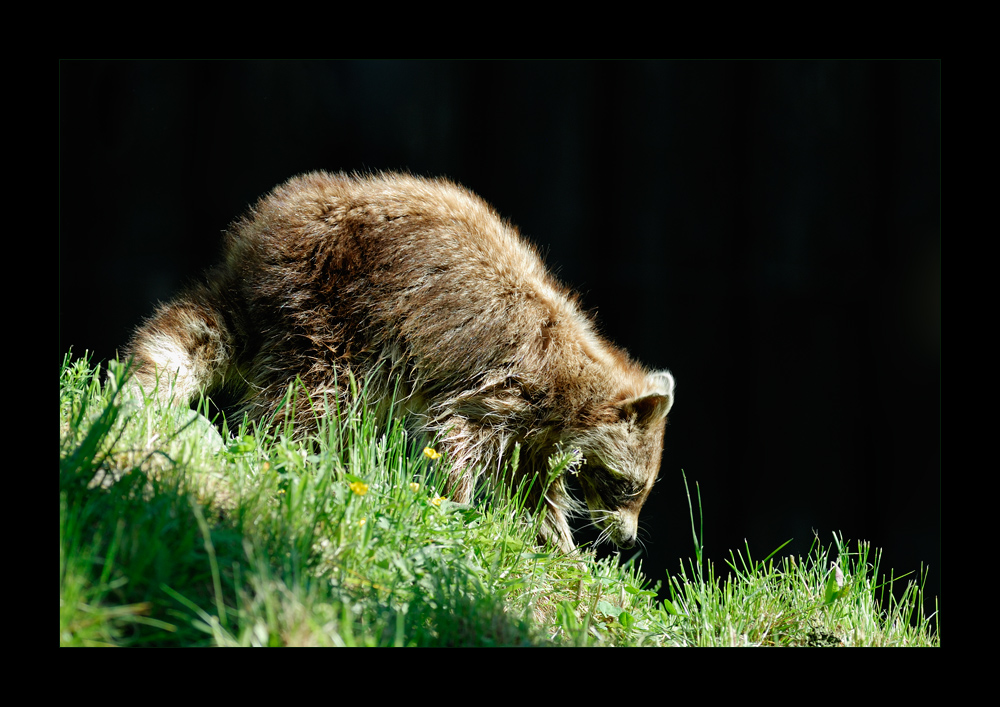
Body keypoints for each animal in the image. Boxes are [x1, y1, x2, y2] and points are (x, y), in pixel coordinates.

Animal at [125, 173, 672, 552]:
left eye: (643, 491)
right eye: (626, 486)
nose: (627, 539)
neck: (581, 386)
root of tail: (254, 243)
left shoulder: (539, 435)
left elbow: (533, 488)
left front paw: (557, 546)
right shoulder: (509, 384)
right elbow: (455, 436)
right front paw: (457, 505)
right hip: (331, 306)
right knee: (311, 396)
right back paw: (292, 452)